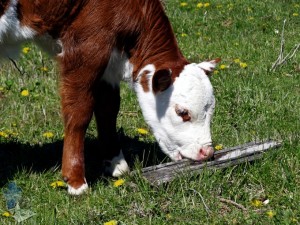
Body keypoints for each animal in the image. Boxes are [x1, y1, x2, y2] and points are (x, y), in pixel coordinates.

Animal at [1, 0, 219, 194]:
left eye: (210, 112)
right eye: (182, 112)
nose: (207, 152)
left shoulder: (108, 64)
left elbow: (109, 108)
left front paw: (115, 163)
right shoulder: (86, 50)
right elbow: (79, 114)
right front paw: (76, 182)